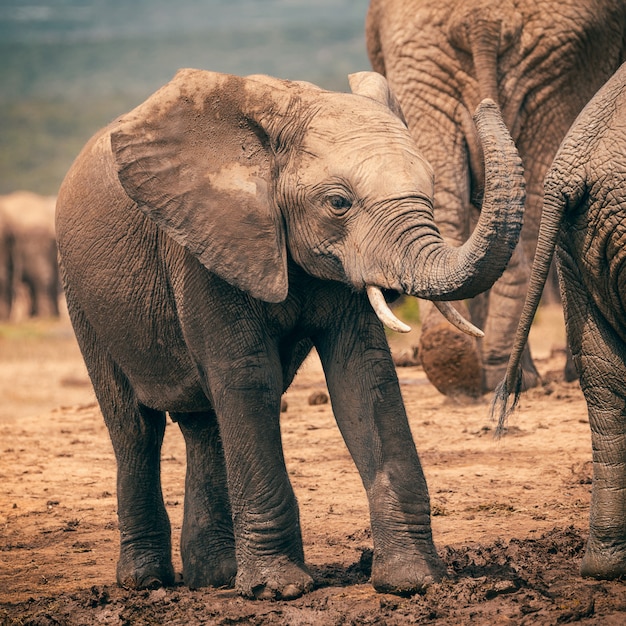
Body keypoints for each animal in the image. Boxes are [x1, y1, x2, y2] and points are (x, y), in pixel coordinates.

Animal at [57, 69, 528, 600]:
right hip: (83, 299)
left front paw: (413, 582)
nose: (486, 103)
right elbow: (249, 378)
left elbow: (365, 378)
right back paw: (146, 581)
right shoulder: (207, 242)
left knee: (205, 424)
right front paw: (277, 591)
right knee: (136, 430)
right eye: (338, 203)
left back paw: (215, 578)